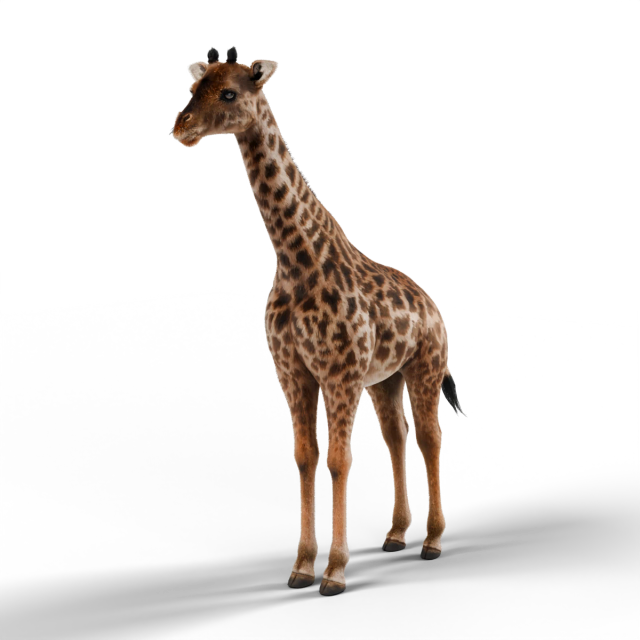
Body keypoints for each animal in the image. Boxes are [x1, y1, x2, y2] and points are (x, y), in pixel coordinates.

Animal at [171, 45, 468, 595]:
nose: (182, 127)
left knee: (430, 439)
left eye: (229, 93)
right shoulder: (294, 373)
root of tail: (433, 306)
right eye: (193, 89)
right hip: (386, 380)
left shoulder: (340, 374)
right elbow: (306, 457)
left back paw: (433, 539)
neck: (294, 259)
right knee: (396, 437)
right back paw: (396, 533)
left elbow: (339, 460)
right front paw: (303, 563)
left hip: (425, 369)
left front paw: (334, 568)